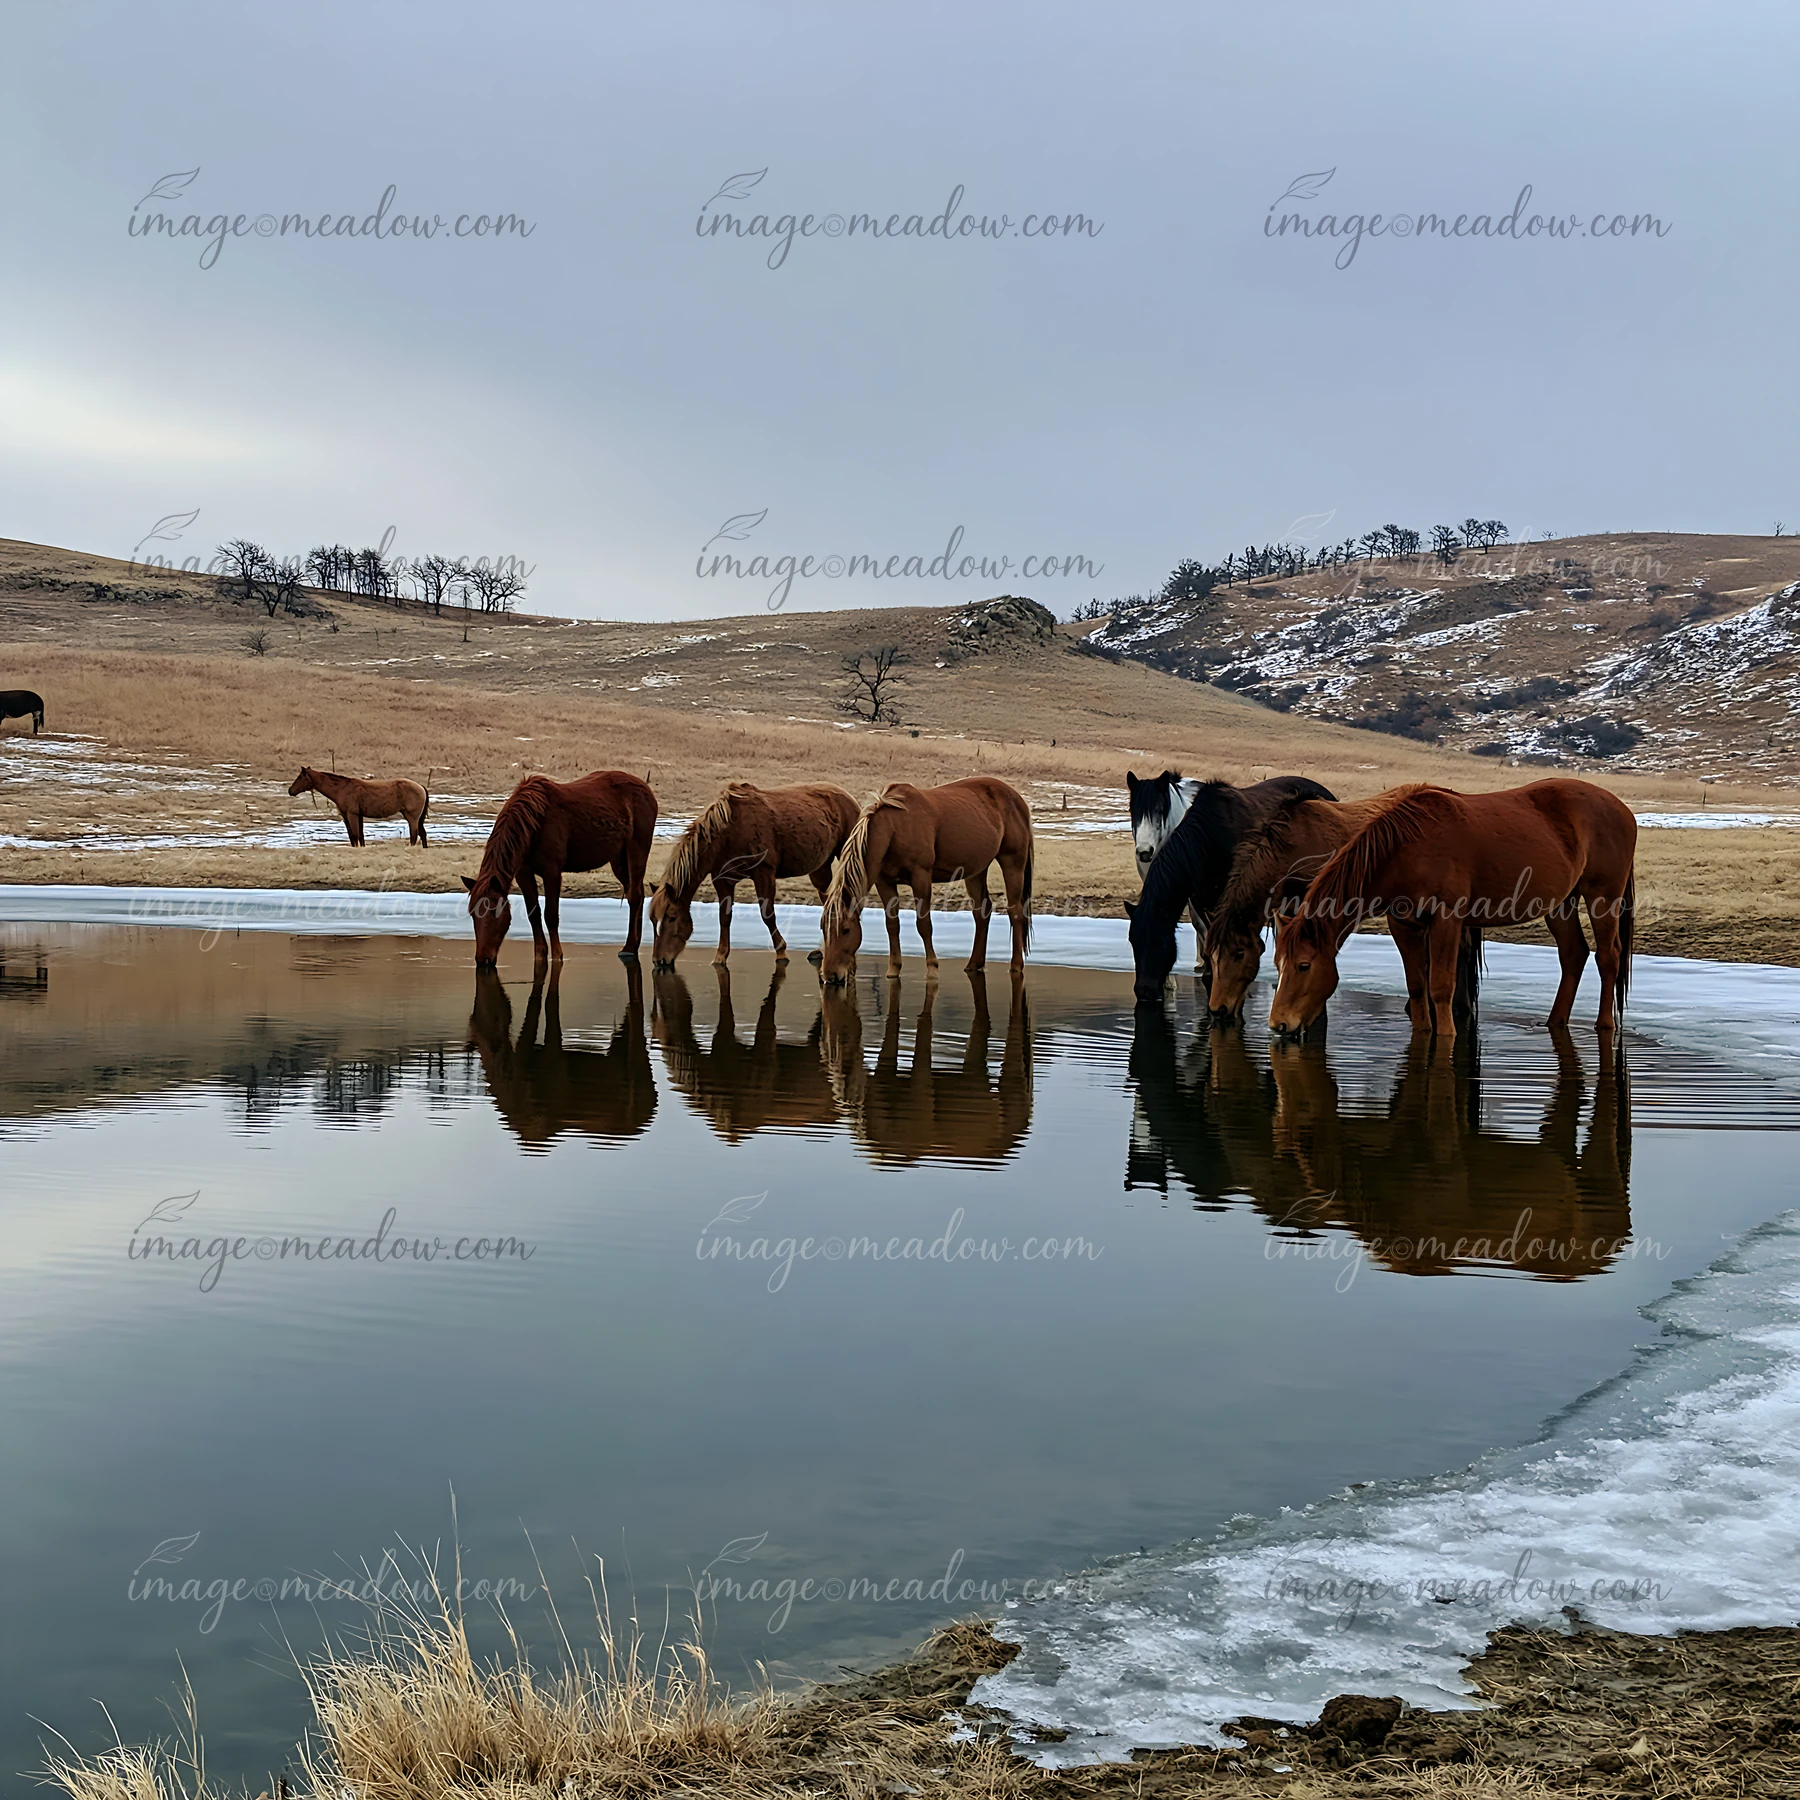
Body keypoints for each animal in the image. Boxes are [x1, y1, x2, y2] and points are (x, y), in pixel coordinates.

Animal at [289, 766, 431, 846]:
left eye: (300, 777)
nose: (290, 791)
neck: (342, 788)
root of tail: (420, 787)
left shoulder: (352, 815)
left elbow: (355, 835)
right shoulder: (354, 816)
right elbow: (357, 836)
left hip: (412, 817)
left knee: (414, 835)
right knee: (422, 834)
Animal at [463, 771, 658, 967]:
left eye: (494, 911)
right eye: (472, 913)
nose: (483, 960)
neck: (534, 823)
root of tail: (646, 788)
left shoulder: (552, 871)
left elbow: (550, 915)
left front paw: (557, 956)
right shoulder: (523, 873)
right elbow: (533, 913)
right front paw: (540, 955)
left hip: (637, 850)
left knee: (635, 896)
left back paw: (629, 947)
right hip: (618, 859)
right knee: (636, 893)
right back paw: (634, 946)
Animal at [649, 781, 858, 969]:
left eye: (671, 917)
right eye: (652, 920)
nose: (659, 960)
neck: (729, 832)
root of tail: (847, 796)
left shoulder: (763, 873)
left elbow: (767, 915)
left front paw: (781, 952)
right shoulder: (723, 880)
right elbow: (724, 917)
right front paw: (720, 956)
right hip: (820, 867)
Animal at [818, 777, 1033, 983]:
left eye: (846, 930)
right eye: (822, 928)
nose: (830, 976)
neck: (894, 828)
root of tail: (1017, 799)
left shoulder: (920, 877)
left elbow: (924, 924)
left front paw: (932, 968)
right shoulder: (884, 882)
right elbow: (892, 925)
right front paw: (894, 969)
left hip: (1012, 863)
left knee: (1015, 912)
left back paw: (1016, 965)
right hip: (976, 871)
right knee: (982, 913)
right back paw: (974, 964)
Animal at [1270, 779, 1638, 1041]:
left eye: (1304, 965)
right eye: (1278, 965)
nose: (1278, 1024)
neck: (1406, 850)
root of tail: (1621, 808)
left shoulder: (1446, 919)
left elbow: (1441, 986)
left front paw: (1446, 1035)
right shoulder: (1403, 924)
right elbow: (1417, 985)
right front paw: (1423, 1032)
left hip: (1603, 897)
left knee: (1608, 957)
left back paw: (1605, 1024)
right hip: (1561, 903)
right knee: (1574, 954)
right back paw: (1554, 1021)